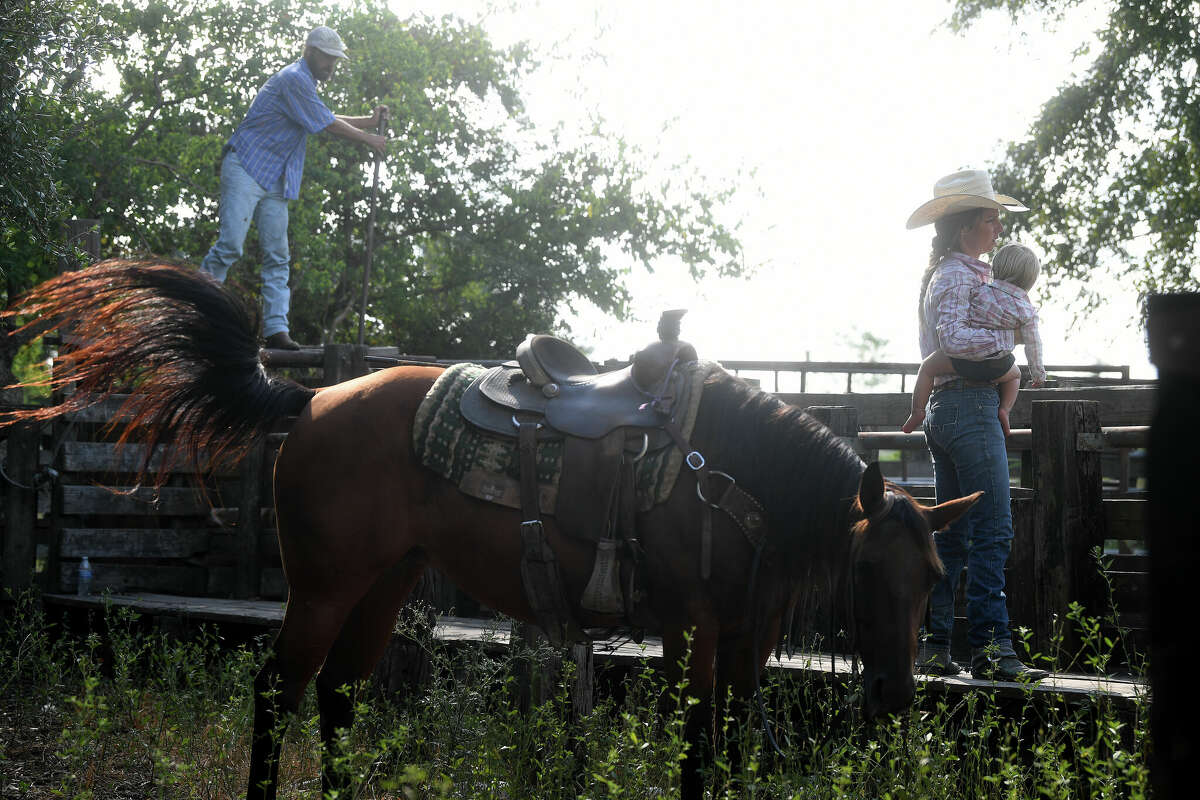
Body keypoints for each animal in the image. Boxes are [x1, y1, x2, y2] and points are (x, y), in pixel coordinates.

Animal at [4, 260, 979, 796]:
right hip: (323, 585)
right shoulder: (692, 626)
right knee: (279, 692)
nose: (898, 696)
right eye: (866, 575)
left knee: (339, 694)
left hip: (389, 581)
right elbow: (699, 753)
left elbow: (736, 748)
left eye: (934, 580)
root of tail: (312, 398)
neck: (732, 476)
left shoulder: (752, 629)